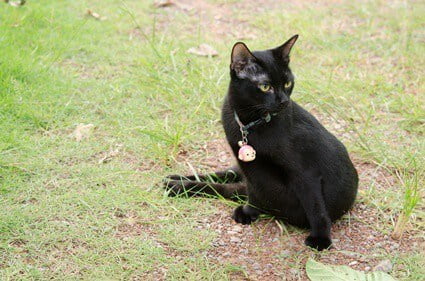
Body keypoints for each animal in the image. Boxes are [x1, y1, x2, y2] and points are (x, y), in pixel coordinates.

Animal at [164, 35, 356, 249]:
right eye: (265, 87)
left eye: (287, 84)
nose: (284, 101)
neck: (250, 123)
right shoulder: (253, 173)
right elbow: (255, 193)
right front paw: (249, 212)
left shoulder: (306, 173)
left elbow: (315, 207)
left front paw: (321, 239)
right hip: (242, 171)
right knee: (223, 178)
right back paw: (176, 182)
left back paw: (178, 185)